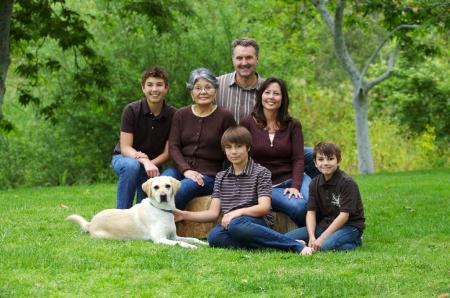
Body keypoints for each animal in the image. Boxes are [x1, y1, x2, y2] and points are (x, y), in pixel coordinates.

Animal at [65, 177, 207, 249]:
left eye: (168, 186)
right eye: (156, 187)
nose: (163, 196)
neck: (162, 210)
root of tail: (91, 223)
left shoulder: (173, 236)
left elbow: (192, 238)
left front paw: (204, 243)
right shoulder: (160, 239)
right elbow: (181, 243)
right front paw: (190, 246)